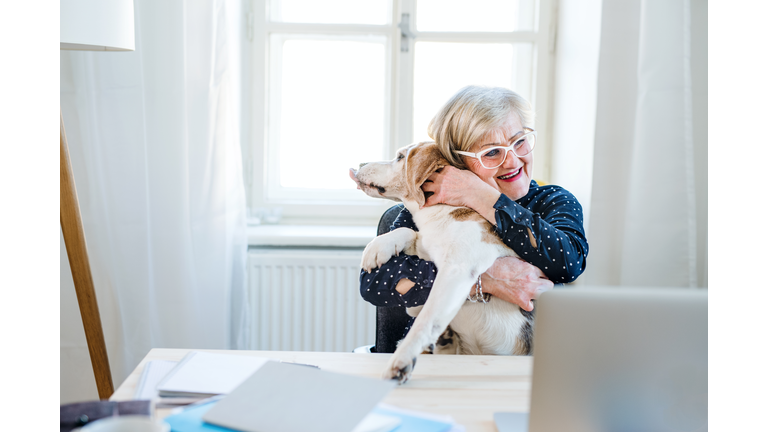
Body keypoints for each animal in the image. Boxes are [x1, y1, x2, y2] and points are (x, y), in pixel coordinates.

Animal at [350, 140, 536, 384]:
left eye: (400, 157)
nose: (360, 164)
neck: (440, 214)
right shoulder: (429, 249)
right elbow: (408, 231)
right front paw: (378, 246)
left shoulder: (455, 273)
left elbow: (424, 321)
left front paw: (401, 360)